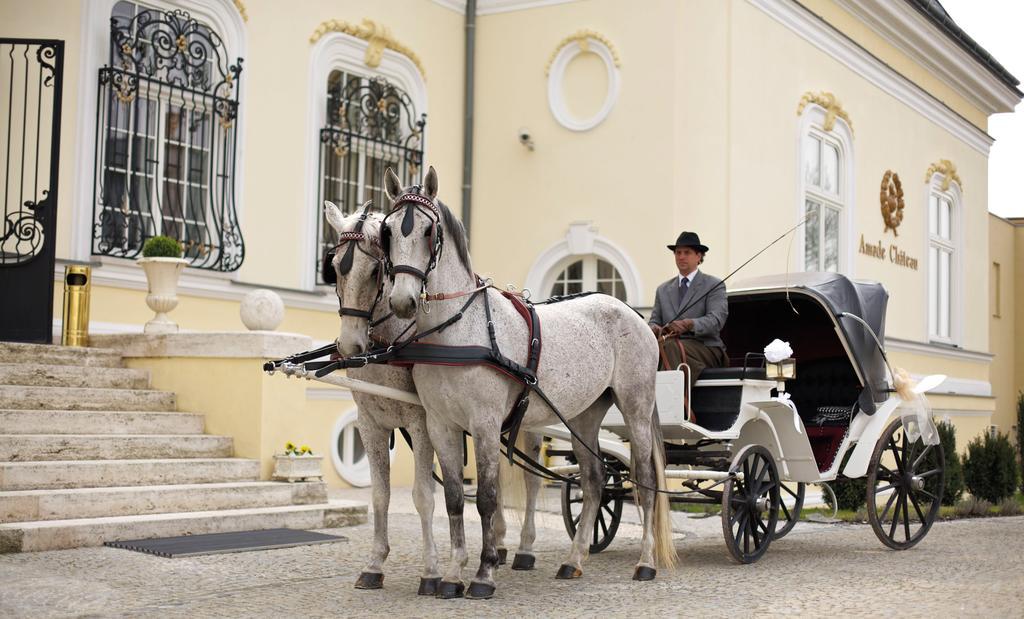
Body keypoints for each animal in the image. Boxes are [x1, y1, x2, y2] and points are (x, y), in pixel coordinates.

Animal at [323, 202, 548, 594]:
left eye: (375, 270)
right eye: (335, 268)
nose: (350, 345)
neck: (388, 347)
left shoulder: (421, 421)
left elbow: (423, 497)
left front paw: (431, 571)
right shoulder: (370, 423)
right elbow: (380, 495)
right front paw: (375, 564)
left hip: (529, 424)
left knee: (532, 481)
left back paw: (523, 548)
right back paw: (499, 545)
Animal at [380, 166, 675, 598]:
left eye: (428, 231)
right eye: (387, 232)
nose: (402, 301)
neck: (457, 333)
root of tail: (632, 314)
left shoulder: (485, 424)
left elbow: (487, 499)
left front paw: (484, 573)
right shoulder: (441, 424)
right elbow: (454, 499)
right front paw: (451, 574)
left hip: (636, 407)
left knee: (645, 479)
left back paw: (646, 563)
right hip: (584, 415)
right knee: (593, 481)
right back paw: (573, 561)